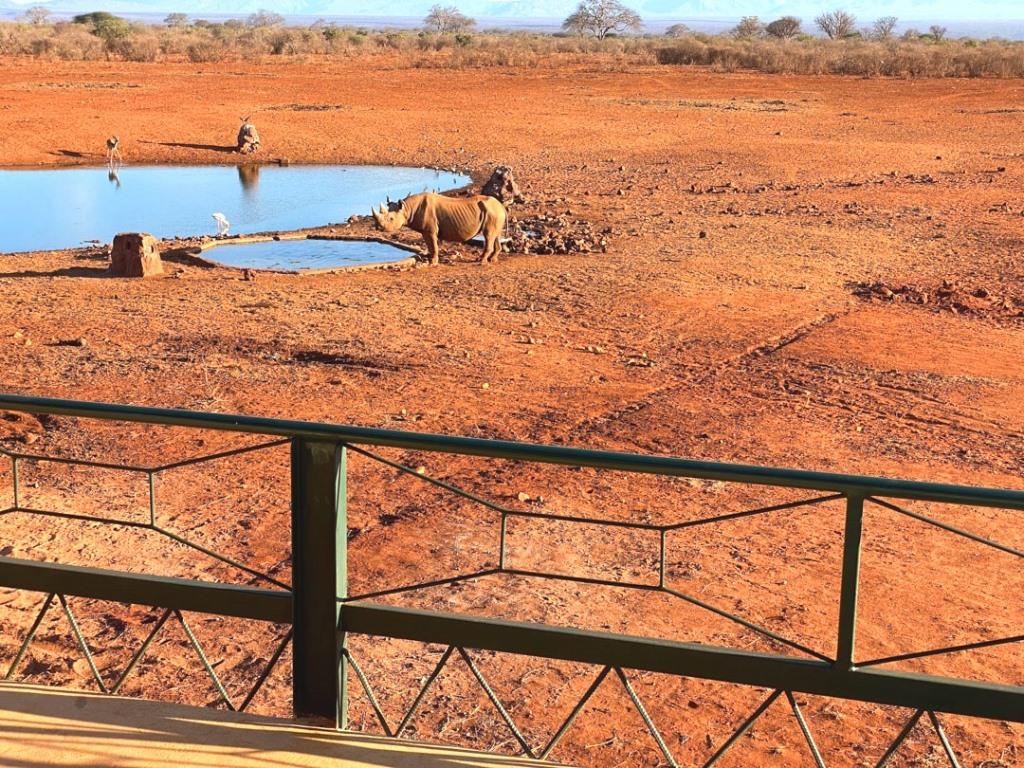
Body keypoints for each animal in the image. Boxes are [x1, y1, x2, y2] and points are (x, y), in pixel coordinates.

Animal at [371, 192, 507, 265]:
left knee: (488, 235)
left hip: (492, 212)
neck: (407, 208)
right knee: (495, 235)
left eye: (391, 219)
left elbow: (433, 245)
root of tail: (501, 206)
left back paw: (481, 261)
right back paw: (492, 259)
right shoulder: (425, 230)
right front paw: (429, 258)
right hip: (495, 213)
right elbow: (430, 245)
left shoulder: (430, 230)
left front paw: (433, 262)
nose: (378, 227)